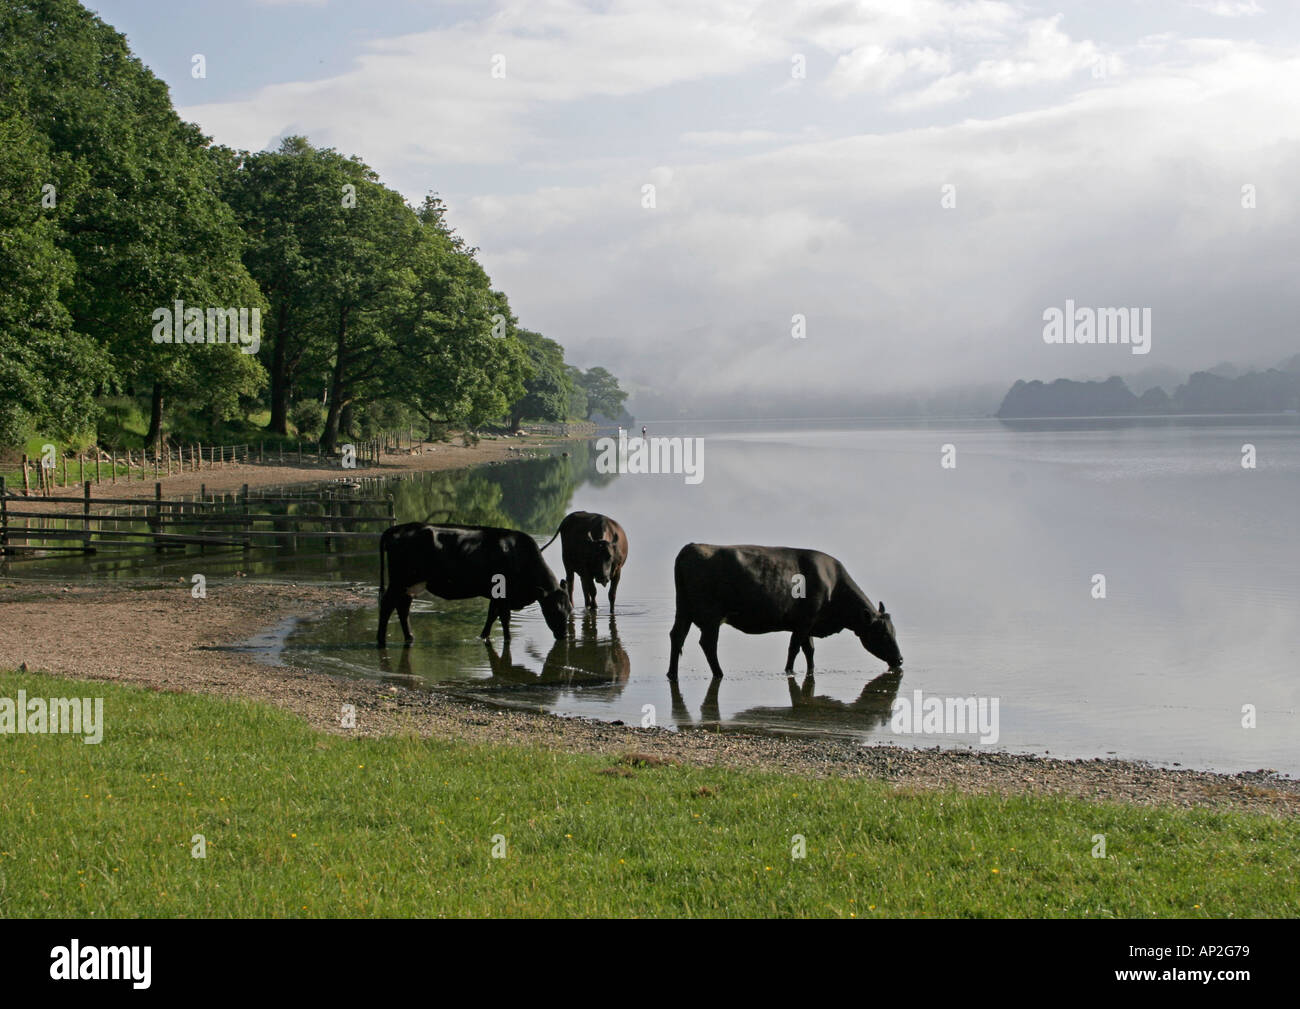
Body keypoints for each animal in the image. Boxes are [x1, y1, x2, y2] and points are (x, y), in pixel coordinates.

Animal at [379, 520, 574, 647]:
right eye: (554, 609)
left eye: (570, 609)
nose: (564, 635)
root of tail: (396, 528)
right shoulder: (504, 594)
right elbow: (504, 618)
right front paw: (507, 639)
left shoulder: (496, 594)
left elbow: (492, 615)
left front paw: (484, 636)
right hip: (399, 581)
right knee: (388, 605)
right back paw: (381, 640)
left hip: (410, 585)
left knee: (403, 607)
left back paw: (410, 637)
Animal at [665, 548, 899, 681]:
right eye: (883, 634)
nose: (900, 659)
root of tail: (691, 547)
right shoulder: (804, 622)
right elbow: (794, 648)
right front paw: (789, 671)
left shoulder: (809, 624)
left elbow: (809, 650)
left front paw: (811, 671)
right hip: (711, 617)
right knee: (707, 643)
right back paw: (719, 673)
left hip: (683, 610)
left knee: (677, 636)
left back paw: (672, 674)